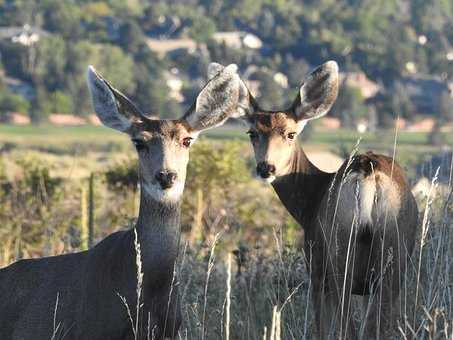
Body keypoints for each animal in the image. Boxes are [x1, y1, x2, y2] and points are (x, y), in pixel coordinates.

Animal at [210, 60, 418, 338]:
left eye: (290, 134)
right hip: (394, 254)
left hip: (337, 254)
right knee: (376, 324)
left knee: (347, 326)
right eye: (252, 133)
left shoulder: (316, 269)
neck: (310, 201)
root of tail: (367, 173)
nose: (266, 167)